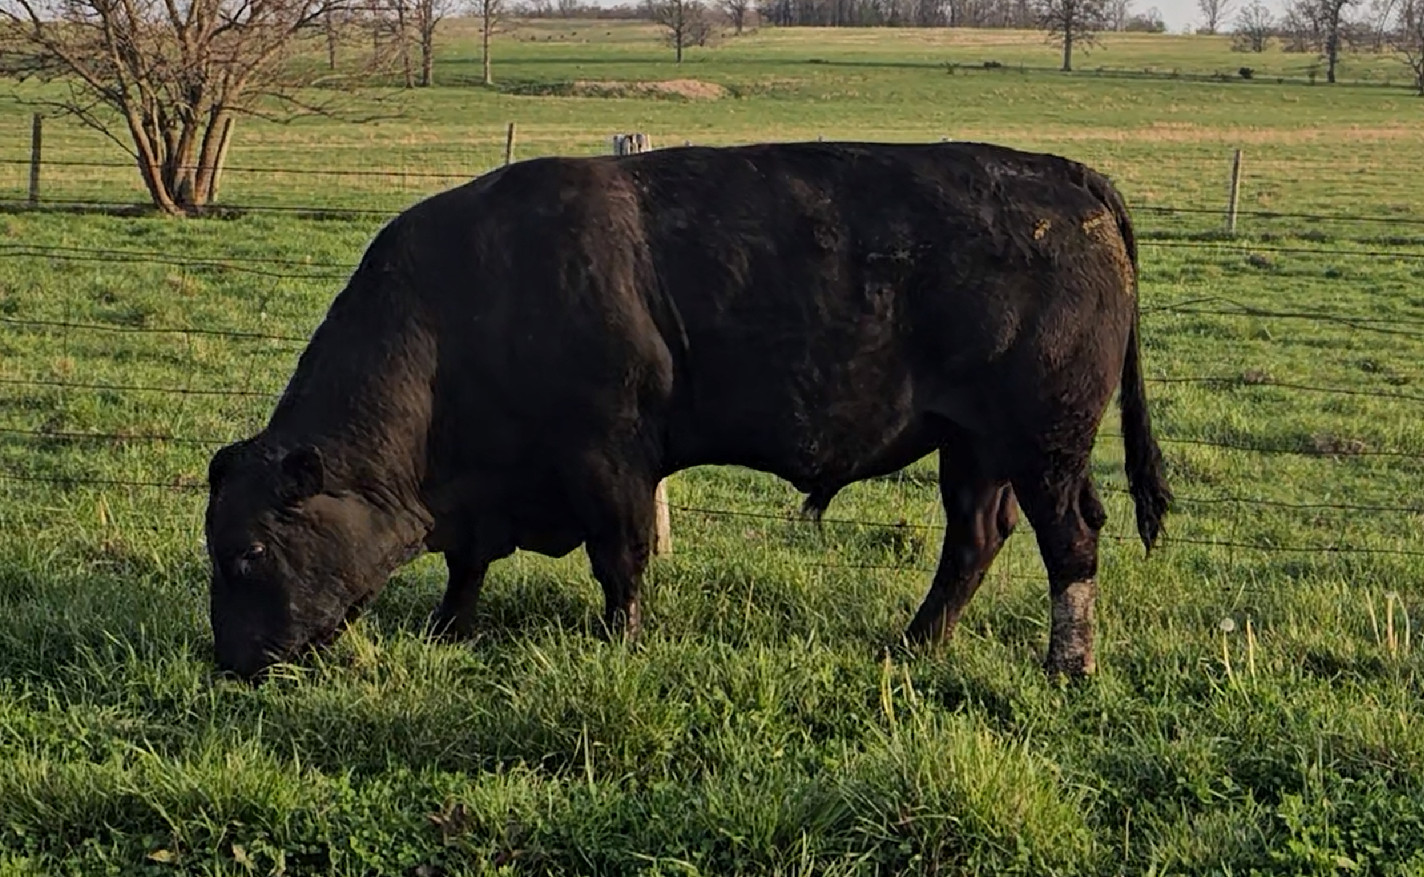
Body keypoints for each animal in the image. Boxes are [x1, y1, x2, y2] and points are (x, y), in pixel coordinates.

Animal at [203, 140, 1172, 682]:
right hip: (972, 447)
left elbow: (620, 561)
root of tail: (1065, 177)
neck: (465, 304)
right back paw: (916, 643)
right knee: (974, 539)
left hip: (1046, 444)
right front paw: (449, 631)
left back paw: (1067, 665)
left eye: (247, 551)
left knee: (1072, 540)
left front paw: (620, 643)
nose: (232, 661)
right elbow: (466, 564)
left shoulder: (609, 460)